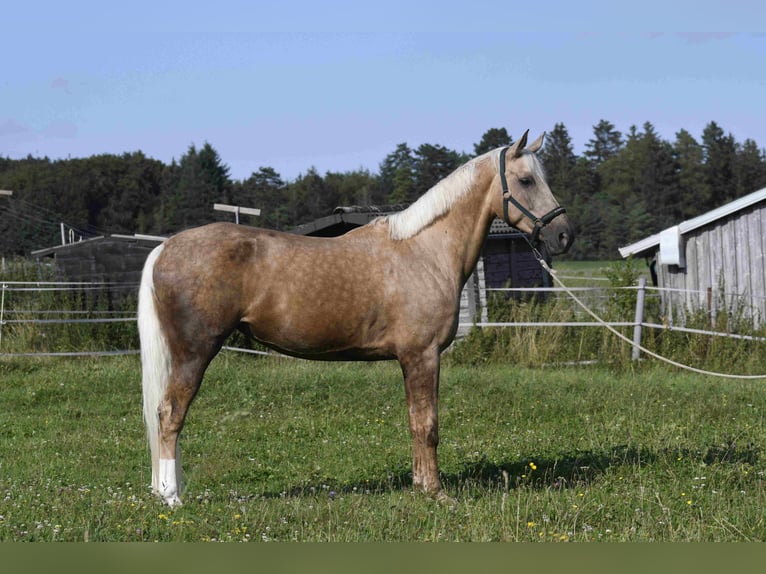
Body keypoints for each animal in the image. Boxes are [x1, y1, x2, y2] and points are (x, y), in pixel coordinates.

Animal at [141, 129, 576, 504]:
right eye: (525, 181)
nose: (563, 236)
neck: (425, 250)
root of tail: (165, 249)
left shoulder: (410, 360)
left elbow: (414, 421)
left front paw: (420, 485)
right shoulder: (423, 356)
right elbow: (428, 425)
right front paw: (436, 493)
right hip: (194, 352)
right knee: (169, 415)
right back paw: (172, 497)